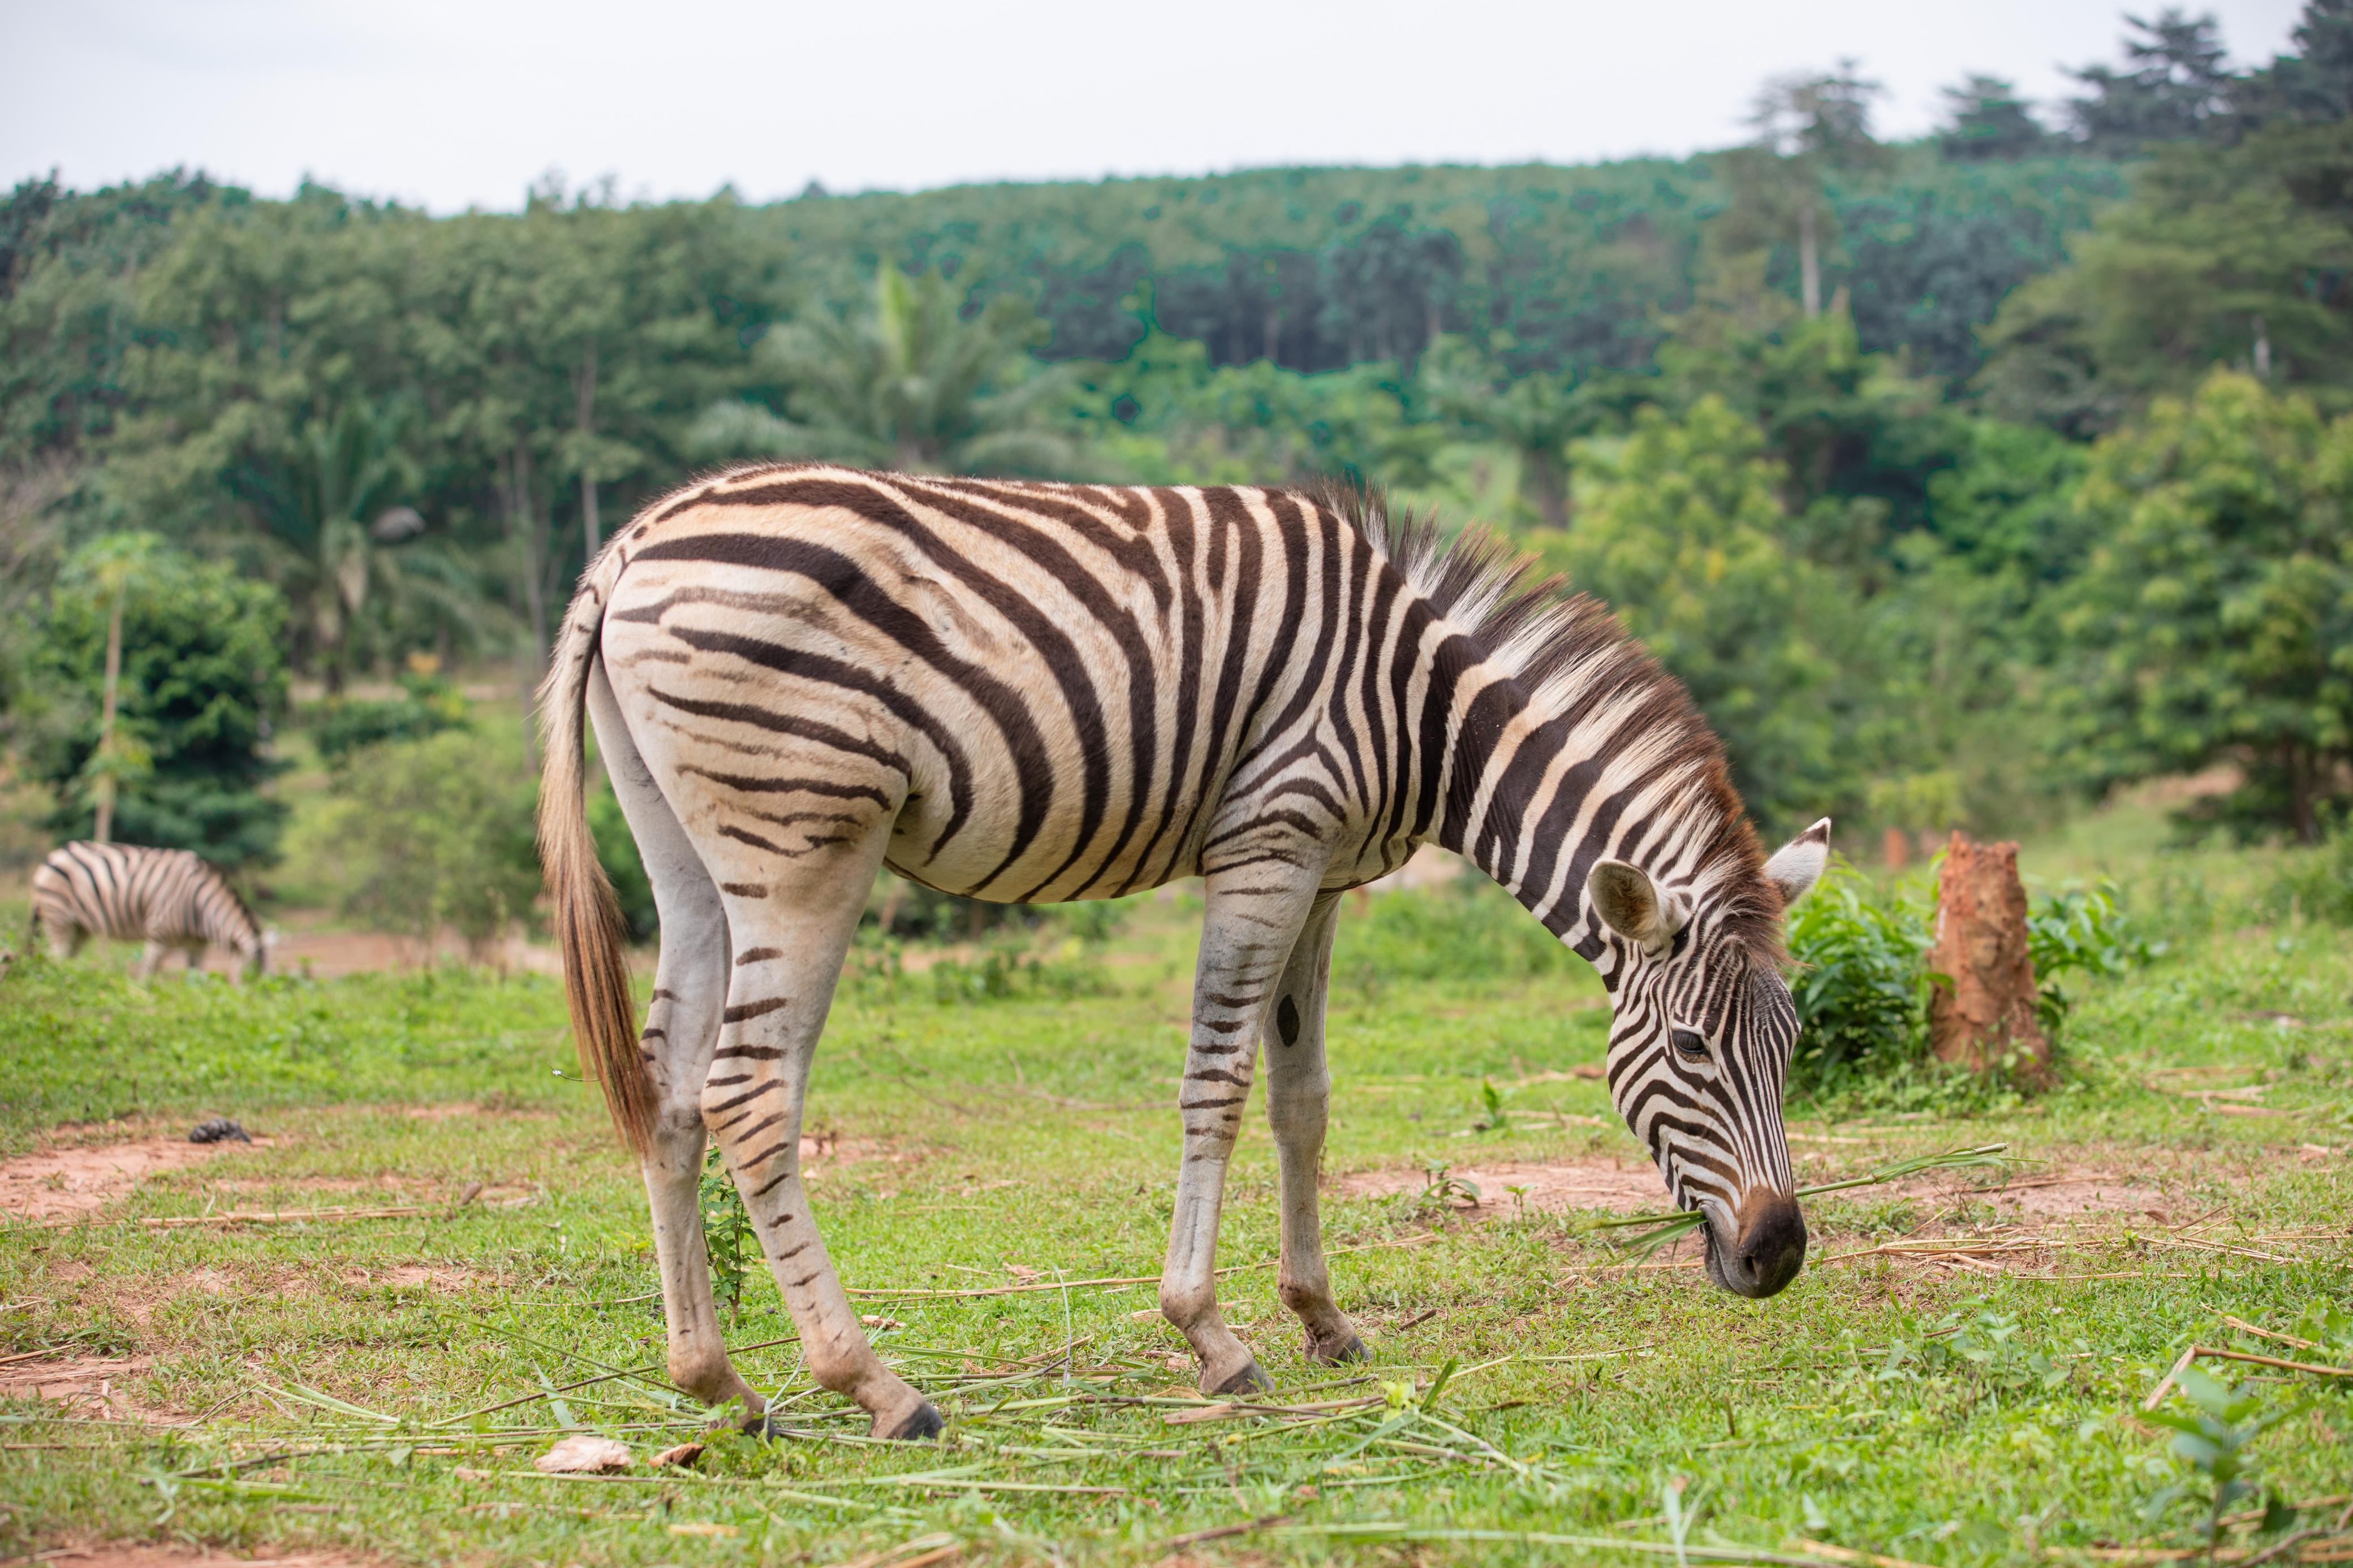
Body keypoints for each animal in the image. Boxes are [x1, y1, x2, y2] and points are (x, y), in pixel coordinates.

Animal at [29, 841, 267, 982]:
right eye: (253, 977)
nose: (250, 1001)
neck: (201, 908)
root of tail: (55, 855)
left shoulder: (196, 946)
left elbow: (196, 978)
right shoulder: (159, 934)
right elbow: (146, 974)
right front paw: (143, 996)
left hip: (79, 926)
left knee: (69, 957)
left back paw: (71, 978)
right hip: (58, 915)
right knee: (56, 956)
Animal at [539, 464, 1830, 1441]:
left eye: (1794, 1044)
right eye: (1688, 1047)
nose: (1777, 1255)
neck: (1425, 712)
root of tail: (634, 543)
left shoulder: (1326, 875)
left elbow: (1305, 1099)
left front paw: (1322, 1318)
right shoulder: (1270, 841)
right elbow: (1220, 1085)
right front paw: (1212, 1335)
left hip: (687, 852)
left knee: (669, 1090)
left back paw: (718, 1382)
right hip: (806, 840)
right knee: (750, 1092)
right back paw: (873, 1385)